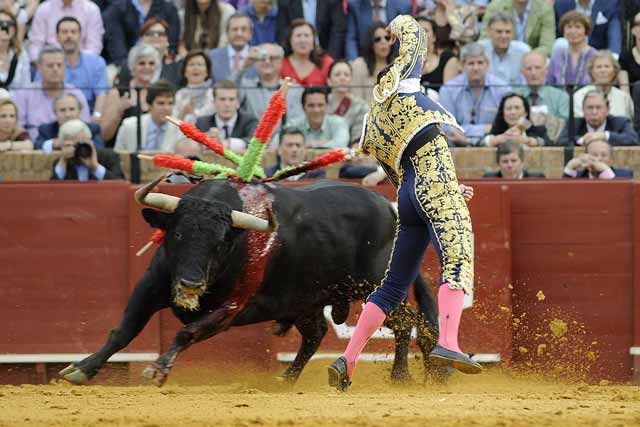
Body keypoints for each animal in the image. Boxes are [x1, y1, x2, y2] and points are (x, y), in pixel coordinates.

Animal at [58, 179, 440, 386]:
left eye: (220, 242)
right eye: (177, 234)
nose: (191, 284)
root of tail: (389, 208)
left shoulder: (229, 308)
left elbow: (186, 333)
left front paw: (157, 369)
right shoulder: (150, 287)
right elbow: (122, 331)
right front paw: (81, 369)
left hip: (375, 284)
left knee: (405, 321)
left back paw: (400, 377)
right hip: (306, 298)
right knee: (315, 333)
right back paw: (285, 380)